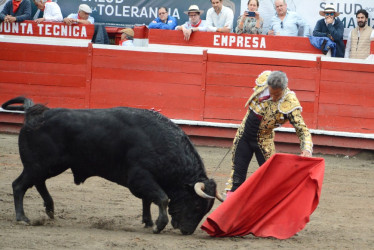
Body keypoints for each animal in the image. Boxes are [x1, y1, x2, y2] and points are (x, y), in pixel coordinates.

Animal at [2, 96, 222, 235]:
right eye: (196, 204)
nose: (187, 231)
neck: (160, 143)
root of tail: (34, 114)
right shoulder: (139, 177)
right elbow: (162, 198)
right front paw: (158, 225)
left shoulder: (145, 180)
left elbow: (148, 200)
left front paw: (148, 221)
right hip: (38, 165)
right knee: (19, 185)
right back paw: (22, 217)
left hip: (48, 166)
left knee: (38, 183)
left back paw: (50, 209)